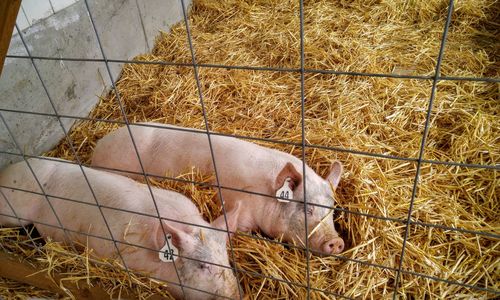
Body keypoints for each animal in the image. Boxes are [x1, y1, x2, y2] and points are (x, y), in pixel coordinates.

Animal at [92, 123, 346, 254]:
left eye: (332, 210)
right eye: (307, 209)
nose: (337, 241)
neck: (265, 194)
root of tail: (98, 146)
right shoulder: (241, 212)